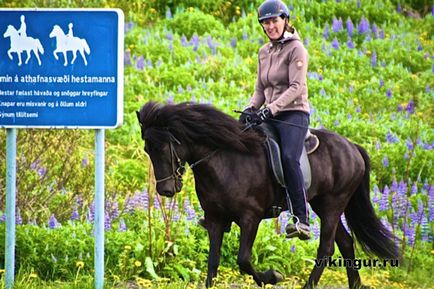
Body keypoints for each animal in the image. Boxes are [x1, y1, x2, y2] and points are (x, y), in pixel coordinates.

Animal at [136, 100, 400, 286]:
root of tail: (352, 147)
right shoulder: (215, 220)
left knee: (326, 249)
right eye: (148, 149)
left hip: (333, 205)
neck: (225, 160)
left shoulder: (250, 218)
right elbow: (213, 262)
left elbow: (243, 259)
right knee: (345, 243)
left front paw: (273, 276)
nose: (165, 190)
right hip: (321, 204)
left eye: (165, 146)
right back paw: (355, 284)